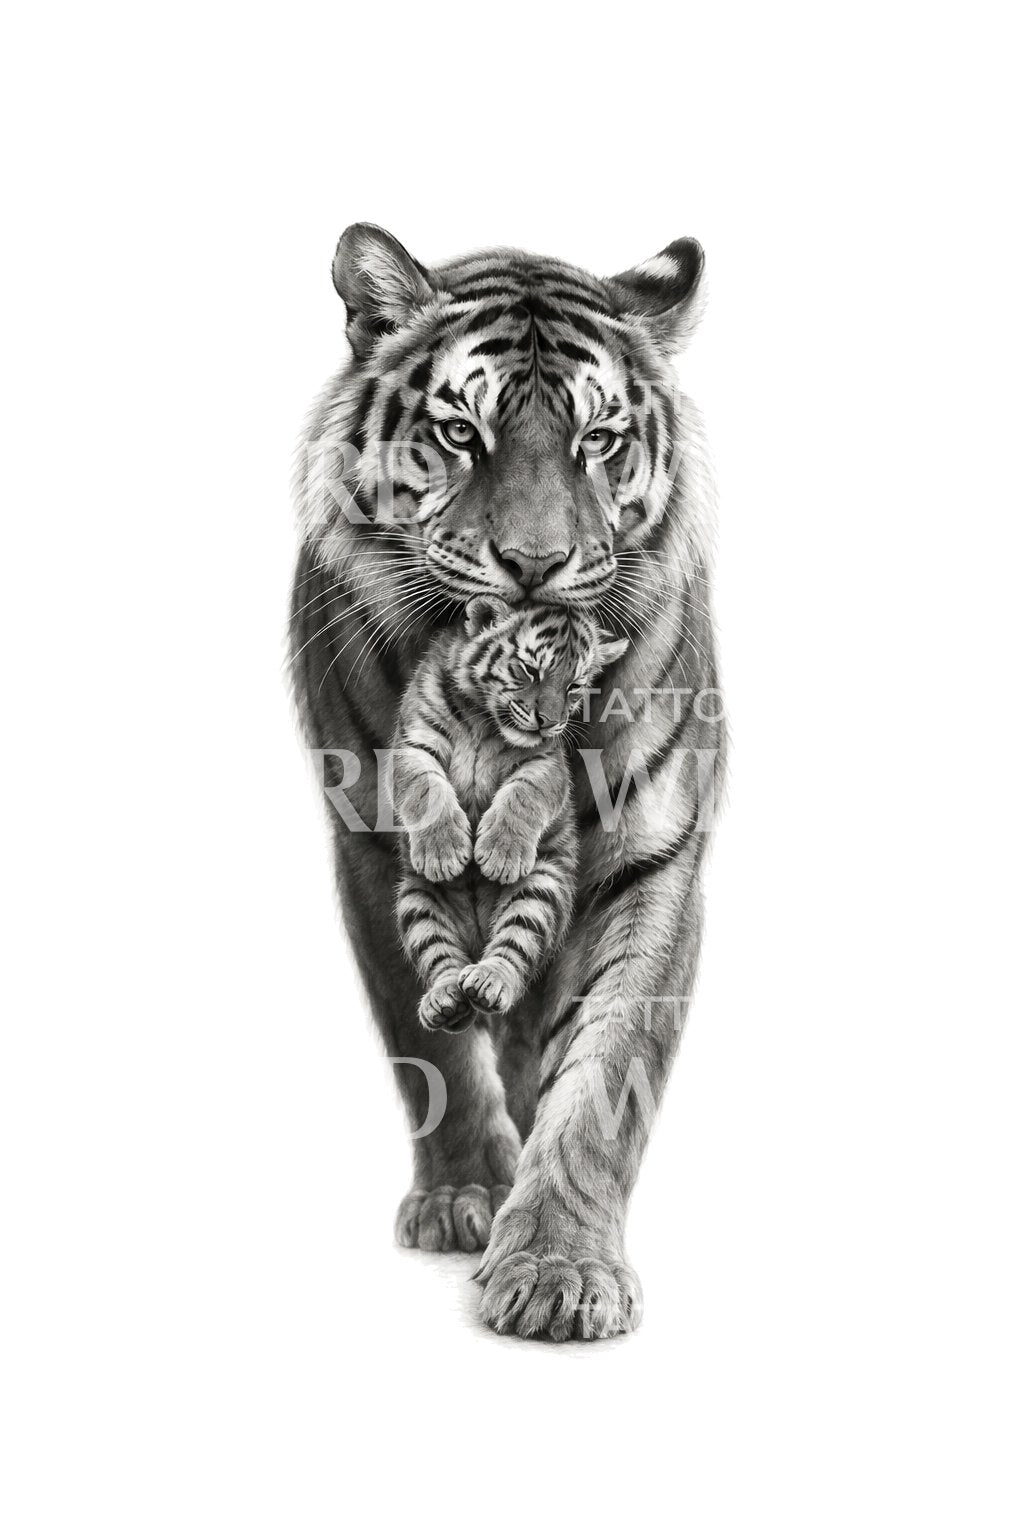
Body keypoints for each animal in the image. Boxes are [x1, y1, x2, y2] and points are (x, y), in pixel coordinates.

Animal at [393, 597, 629, 1034]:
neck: (482, 720)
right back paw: (445, 1001)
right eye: (530, 670)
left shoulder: (544, 763)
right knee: (440, 957)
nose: (550, 722)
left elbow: (524, 796)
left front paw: (500, 857)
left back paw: (487, 981)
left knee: (513, 948)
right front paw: (443, 854)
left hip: (541, 889)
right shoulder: (414, 744)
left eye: (573, 686)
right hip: (417, 899)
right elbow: (425, 788)